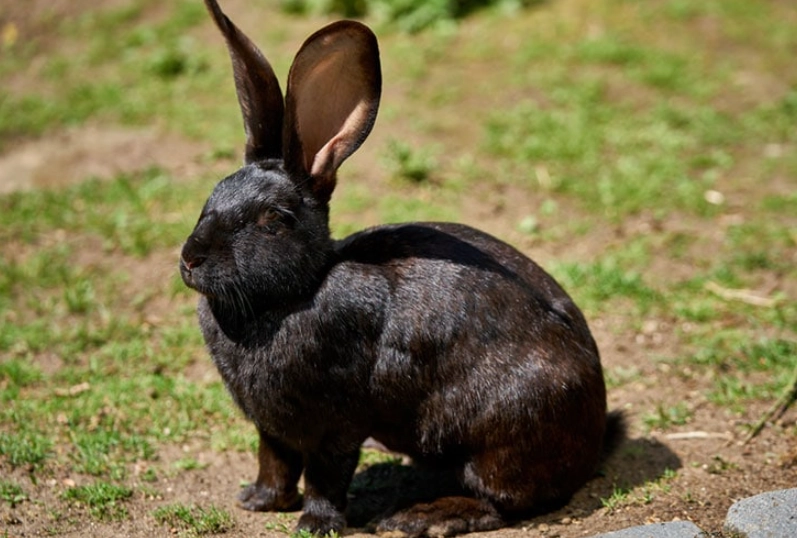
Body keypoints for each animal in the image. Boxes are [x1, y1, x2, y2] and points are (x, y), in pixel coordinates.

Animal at [180, 1, 623, 536]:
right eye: (212, 196)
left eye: (273, 220)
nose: (190, 259)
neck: (296, 292)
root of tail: (594, 434)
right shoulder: (273, 425)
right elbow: (275, 460)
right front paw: (258, 501)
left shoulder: (338, 421)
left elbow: (325, 474)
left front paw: (315, 524)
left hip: (507, 432)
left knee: (504, 501)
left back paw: (423, 516)